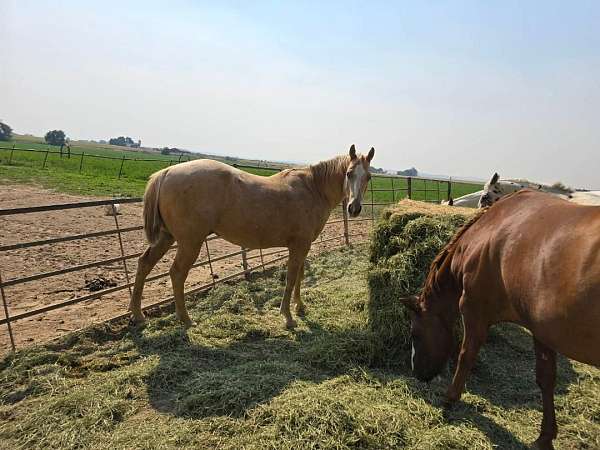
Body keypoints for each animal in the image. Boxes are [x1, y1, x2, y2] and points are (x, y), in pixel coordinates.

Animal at [131, 146, 376, 328]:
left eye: (369, 177)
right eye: (348, 173)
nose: (354, 208)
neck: (312, 188)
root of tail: (166, 173)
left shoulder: (303, 246)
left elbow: (300, 277)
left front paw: (300, 307)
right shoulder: (298, 246)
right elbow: (290, 279)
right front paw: (288, 317)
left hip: (167, 237)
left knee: (144, 264)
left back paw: (138, 314)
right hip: (190, 242)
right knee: (177, 273)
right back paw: (186, 319)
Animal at [398, 190, 600, 450]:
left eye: (414, 334)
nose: (417, 374)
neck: (485, 235)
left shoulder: (474, 313)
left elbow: (465, 357)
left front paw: (450, 399)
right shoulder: (542, 333)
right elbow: (546, 379)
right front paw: (545, 436)